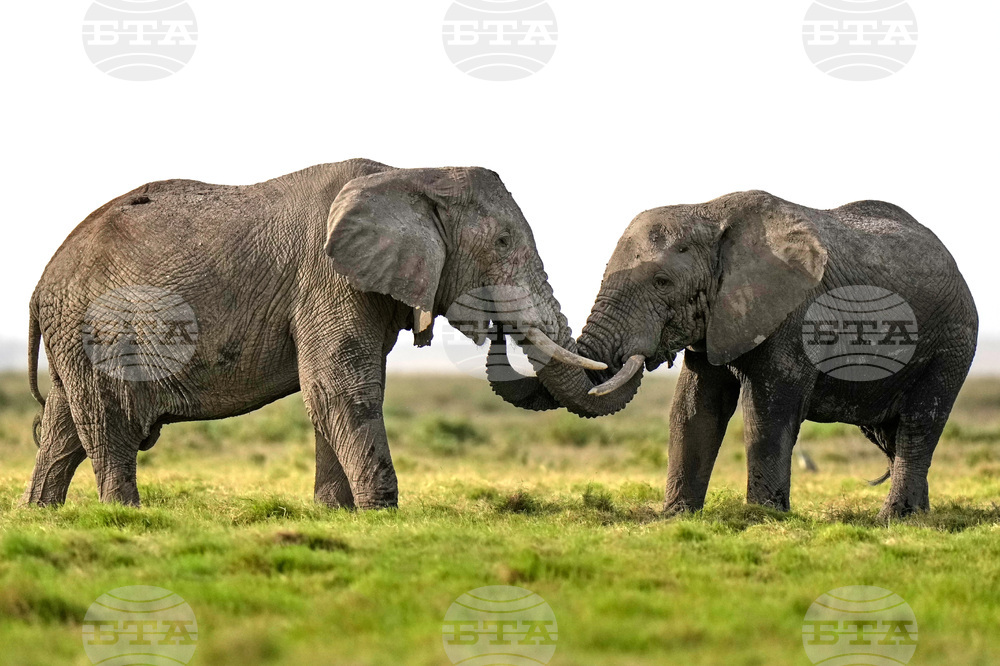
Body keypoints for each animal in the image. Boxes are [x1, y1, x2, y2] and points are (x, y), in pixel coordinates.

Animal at [21, 159, 604, 509]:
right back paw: (126, 516)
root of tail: (41, 284)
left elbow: (330, 394)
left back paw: (44, 514)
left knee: (64, 427)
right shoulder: (330, 279)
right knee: (108, 423)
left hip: (75, 335)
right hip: (96, 328)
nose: (497, 329)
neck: (412, 175)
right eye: (503, 241)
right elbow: (342, 387)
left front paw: (335, 514)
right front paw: (380, 515)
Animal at [487, 190, 978, 520]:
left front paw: (763, 518)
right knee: (894, 435)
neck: (709, 213)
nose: (497, 326)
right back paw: (920, 516)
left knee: (920, 422)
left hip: (953, 341)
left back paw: (896, 519)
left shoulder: (793, 312)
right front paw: (675, 517)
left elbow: (767, 411)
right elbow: (693, 408)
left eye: (662, 283)